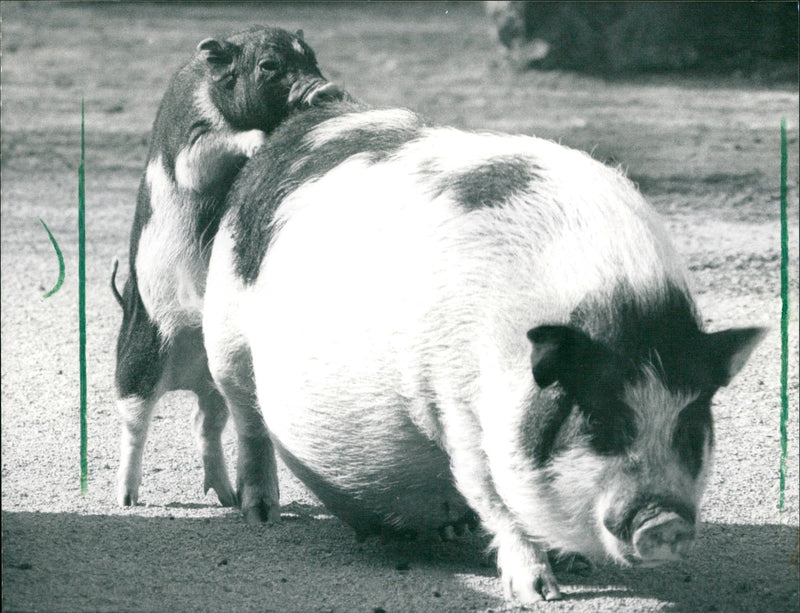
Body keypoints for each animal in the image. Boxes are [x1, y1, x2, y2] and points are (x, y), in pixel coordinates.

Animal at [113, 25, 345, 509]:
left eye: (312, 58)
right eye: (269, 66)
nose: (325, 89)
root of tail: (184, 374)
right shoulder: (189, 141)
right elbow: (199, 159)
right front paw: (255, 141)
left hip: (218, 372)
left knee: (205, 423)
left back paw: (228, 498)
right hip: (140, 354)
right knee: (134, 419)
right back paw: (125, 499)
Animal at [201, 101, 765, 603]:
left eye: (690, 426)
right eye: (599, 422)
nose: (664, 521)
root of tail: (293, 131)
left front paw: (574, 565)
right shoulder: (456, 402)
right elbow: (495, 498)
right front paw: (540, 595)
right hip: (223, 334)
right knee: (249, 422)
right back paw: (262, 516)